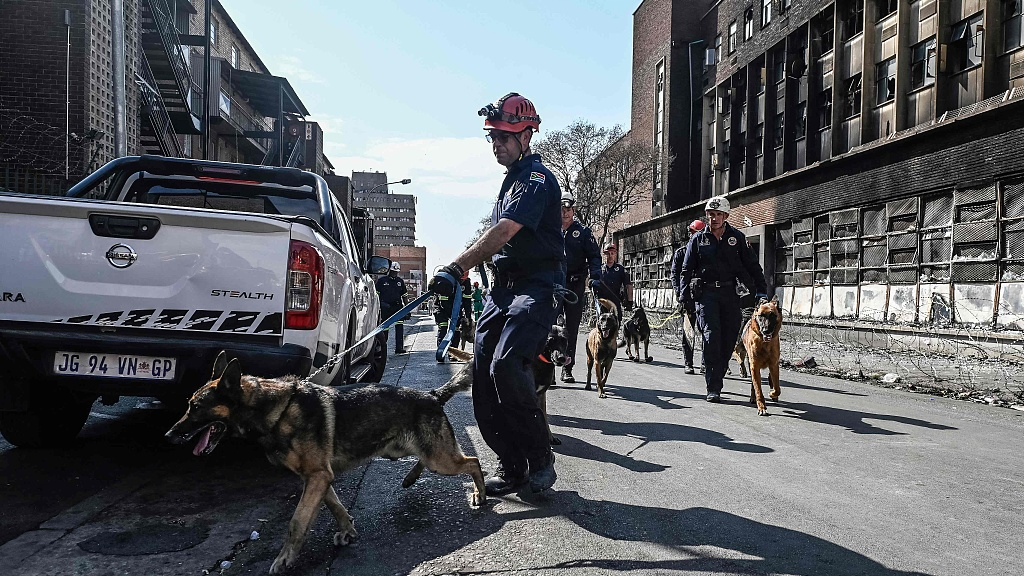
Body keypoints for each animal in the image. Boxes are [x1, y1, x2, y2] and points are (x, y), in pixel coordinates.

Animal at [165, 350, 485, 569]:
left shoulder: (317, 477)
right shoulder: (317, 477)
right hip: (409, 451)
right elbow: (335, 506)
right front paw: (347, 530)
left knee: (472, 461)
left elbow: (296, 522)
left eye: (196, 407)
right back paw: (411, 477)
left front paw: (285, 558)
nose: (168, 435)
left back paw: (480, 493)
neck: (276, 409)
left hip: (439, 458)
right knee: (431, 460)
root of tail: (431, 395)